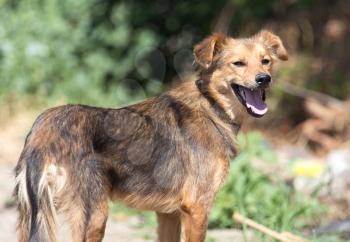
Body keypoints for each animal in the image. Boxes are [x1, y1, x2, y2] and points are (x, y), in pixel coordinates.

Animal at [13, 30, 288, 242]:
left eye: (265, 61)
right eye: (238, 63)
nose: (264, 79)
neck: (212, 107)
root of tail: (42, 134)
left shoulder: (169, 213)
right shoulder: (197, 207)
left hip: (33, 217)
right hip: (94, 216)